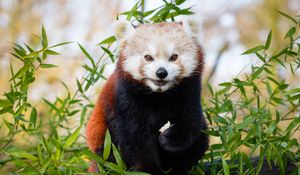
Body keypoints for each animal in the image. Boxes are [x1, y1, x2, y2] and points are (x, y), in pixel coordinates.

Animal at [86, 20, 207, 175]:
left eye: (173, 57)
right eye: (148, 57)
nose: (161, 72)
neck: (159, 95)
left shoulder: (189, 92)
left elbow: (191, 123)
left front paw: (169, 138)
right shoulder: (126, 100)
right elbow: (135, 140)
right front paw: (149, 170)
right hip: (102, 135)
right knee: (109, 156)